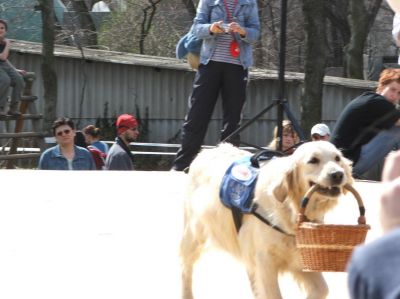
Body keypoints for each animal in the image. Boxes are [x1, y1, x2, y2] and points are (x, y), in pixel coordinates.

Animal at [180, 142, 352, 299]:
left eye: (337, 158)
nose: (338, 174)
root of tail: (207, 151)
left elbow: (322, 289)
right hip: (194, 235)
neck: (292, 208)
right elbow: (273, 294)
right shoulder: (265, 260)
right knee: (185, 268)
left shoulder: (298, 256)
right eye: (313, 160)